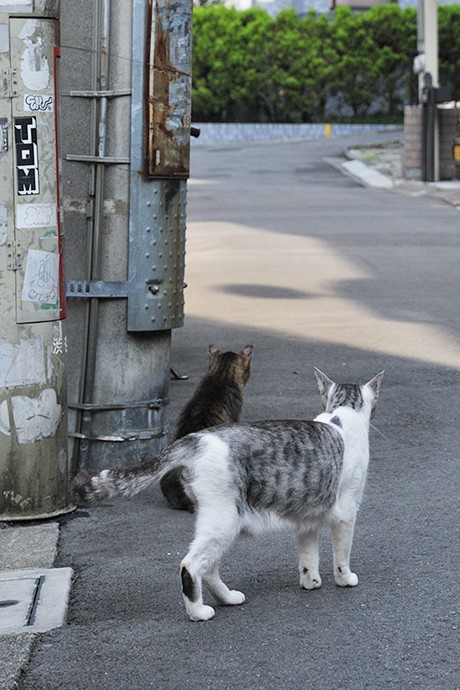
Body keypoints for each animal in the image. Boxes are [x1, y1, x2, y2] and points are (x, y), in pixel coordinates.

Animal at [73, 368, 384, 620]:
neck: (341, 415)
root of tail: (195, 438)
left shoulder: (306, 516)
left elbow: (308, 557)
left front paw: (311, 582)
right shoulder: (347, 512)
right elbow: (342, 553)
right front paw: (345, 579)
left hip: (215, 520)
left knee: (209, 568)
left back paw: (228, 598)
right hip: (225, 520)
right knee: (191, 565)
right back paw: (198, 612)